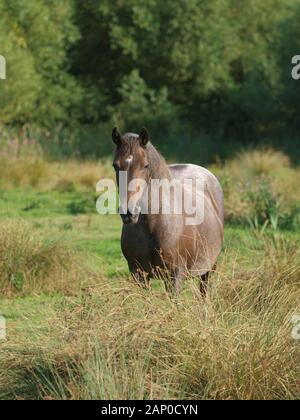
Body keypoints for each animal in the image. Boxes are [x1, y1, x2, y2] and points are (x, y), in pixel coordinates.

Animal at [111, 126, 224, 294]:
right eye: (115, 165)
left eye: (145, 165)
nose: (129, 213)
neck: (153, 225)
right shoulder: (138, 274)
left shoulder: (174, 276)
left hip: (209, 268)